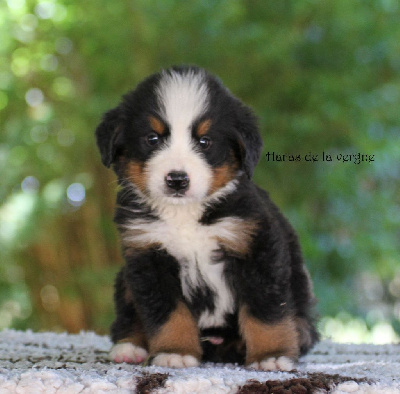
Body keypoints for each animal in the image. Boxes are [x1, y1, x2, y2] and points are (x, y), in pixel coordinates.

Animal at [95, 64, 318, 370]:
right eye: (152, 139)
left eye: (205, 141)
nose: (177, 179)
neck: (185, 215)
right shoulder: (147, 256)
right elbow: (168, 313)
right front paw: (175, 351)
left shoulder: (257, 248)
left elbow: (266, 312)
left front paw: (270, 356)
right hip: (126, 277)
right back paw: (129, 346)